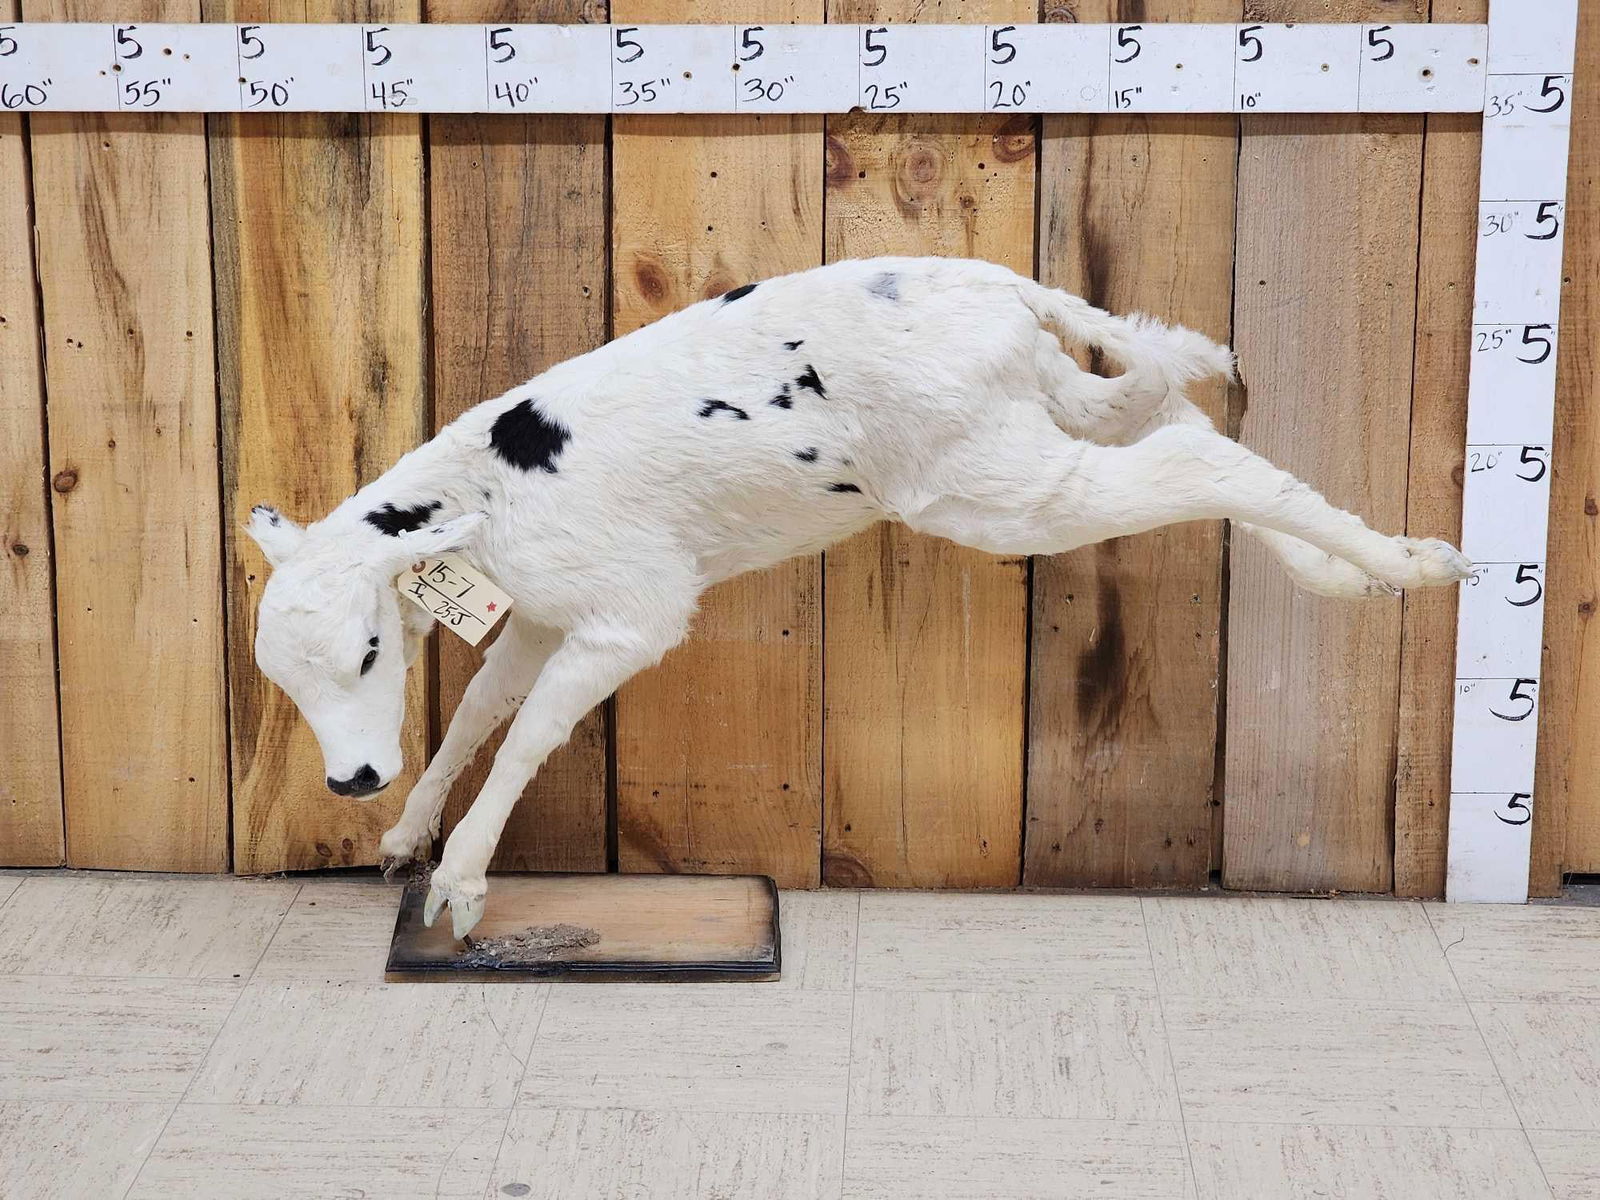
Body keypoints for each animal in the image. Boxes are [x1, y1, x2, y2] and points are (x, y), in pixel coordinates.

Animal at [247, 256, 1471, 937]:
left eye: (367, 652)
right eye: (291, 683)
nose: (350, 780)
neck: (490, 491)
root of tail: (998, 284)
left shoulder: (632, 615)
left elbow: (526, 736)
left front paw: (457, 885)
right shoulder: (537, 615)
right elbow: (475, 714)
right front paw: (406, 834)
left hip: (990, 486)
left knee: (1191, 457)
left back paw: (1415, 564)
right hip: (1041, 420)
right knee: (1174, 414)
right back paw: (1348, 566)